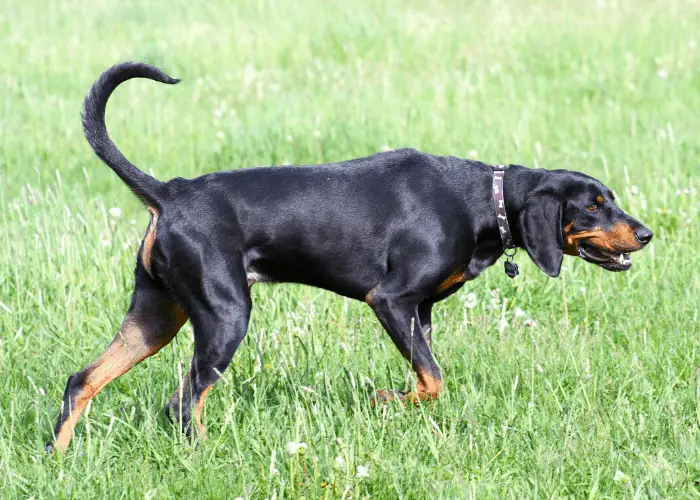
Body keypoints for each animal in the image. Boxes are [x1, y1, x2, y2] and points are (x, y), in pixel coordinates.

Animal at [46, 62, 652, 454]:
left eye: (611, 197)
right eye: (594, 205)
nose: (646, 234)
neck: (487, 200)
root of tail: (169, 193)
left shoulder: (420, 312)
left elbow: (427, 375)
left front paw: (395, 402)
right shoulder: (390, 299)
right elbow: (432, 379)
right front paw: (384, 399)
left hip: (155, 317)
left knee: (82, 381)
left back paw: (59, 458)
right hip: (224, 317)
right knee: (183, 401)